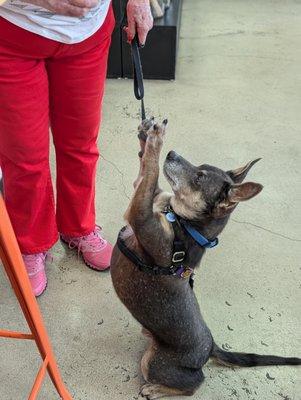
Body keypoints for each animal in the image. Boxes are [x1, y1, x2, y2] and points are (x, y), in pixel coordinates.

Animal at [109, 117, 298, 398]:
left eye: (199, 177)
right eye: (200, 167)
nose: (171, 153)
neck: (183, 223)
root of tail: (210, 348)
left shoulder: (140, 217)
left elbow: (150, 171)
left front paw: (156, 140)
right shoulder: (145, 197)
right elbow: (145, 173)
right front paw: (146, 133)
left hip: (153, 363)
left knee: (194, 384)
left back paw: (155, 389)